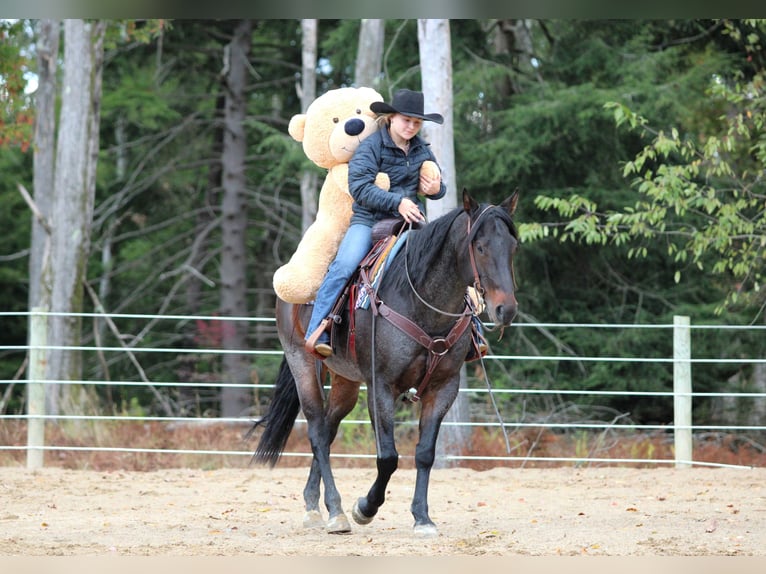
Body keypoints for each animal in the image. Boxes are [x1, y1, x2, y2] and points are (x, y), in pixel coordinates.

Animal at [250, 188, 520, 536]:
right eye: (480, 246)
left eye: (512, 246)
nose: (506, 309)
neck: (421, 302)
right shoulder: (381, 386)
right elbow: (388, 457)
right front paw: (365, 508)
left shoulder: (444, 388)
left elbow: (425, 453)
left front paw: (422, 517)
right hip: (303, 365)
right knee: (317, 433)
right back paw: (336, 512)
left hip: (346, 380)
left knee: (328, 429)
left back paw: (313, 505)